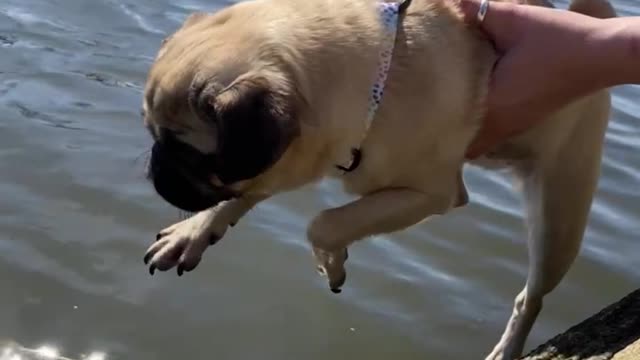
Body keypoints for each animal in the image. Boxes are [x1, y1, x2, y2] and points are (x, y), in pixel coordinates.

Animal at [140, 0, 616, 358]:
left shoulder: (429, 194)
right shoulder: (294, 157)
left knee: (531, 297)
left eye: (188, 154)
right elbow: (247, 193)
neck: (377, 79)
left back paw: (509, 348)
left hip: (558, 219)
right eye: (153, 136)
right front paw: (196, 231)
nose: (155, 171)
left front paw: (331, 263)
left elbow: (325, 223)